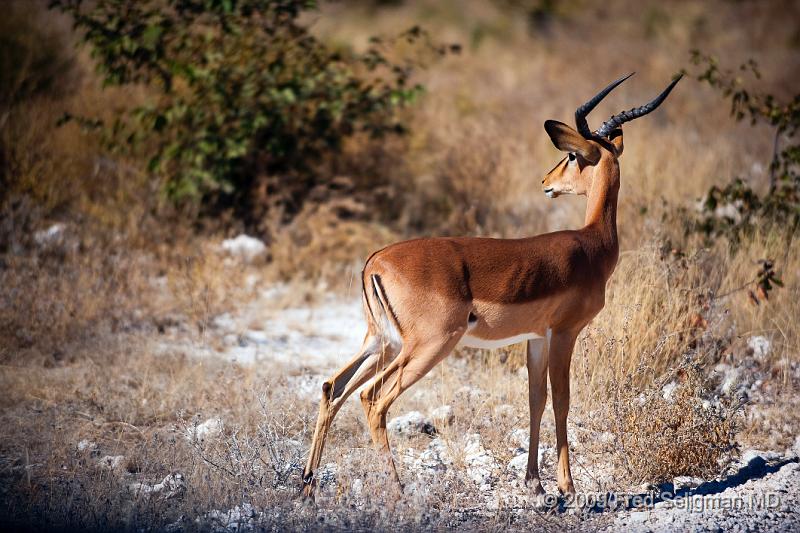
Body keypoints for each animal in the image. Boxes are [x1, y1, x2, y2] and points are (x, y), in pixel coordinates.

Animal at [302, 72, 680, 496]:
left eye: (570, 157)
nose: (546, 182)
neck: (592, 243)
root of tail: (375, 261)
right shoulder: (565, 333)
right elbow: (562, 401)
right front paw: (567, 487)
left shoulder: (537, 338)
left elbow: (536, 400)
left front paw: (535, 483)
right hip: (428, 345)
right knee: (372, 398)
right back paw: (398, 490)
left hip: (383, 342)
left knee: (333, 386)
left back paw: (307, 487)